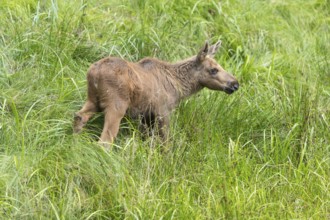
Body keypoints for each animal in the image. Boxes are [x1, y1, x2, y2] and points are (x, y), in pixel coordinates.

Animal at [73, 40, 238, 144]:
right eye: (213, 70)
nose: (235, 84)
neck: (179, 89)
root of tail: (94, 73)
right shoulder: (162, 111)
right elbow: (165, 142)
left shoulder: (145, 116)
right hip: (116, 105)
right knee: (105, 141)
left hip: (92, 99)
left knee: (79, 117)